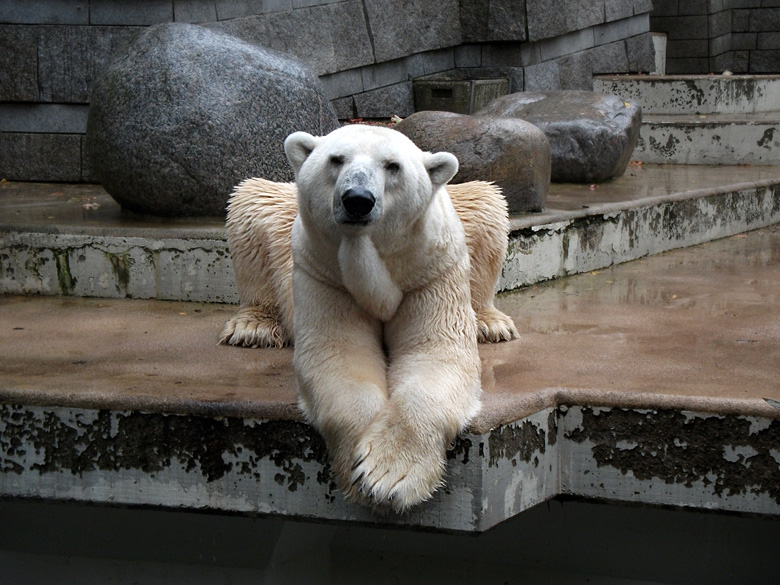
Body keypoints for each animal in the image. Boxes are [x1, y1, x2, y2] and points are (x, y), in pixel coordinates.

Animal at [219, 125, 516, 508]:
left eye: (393, 166)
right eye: (336, 159)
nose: (357, 199)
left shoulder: (429, 271)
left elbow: (436, 353)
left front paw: (392, 476)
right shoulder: (325, 273)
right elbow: (340, 354)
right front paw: (361, 471)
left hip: (469, 217)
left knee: (488, 203)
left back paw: (490, 323)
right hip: (276, 217)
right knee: (250, 201)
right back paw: (252, 328)